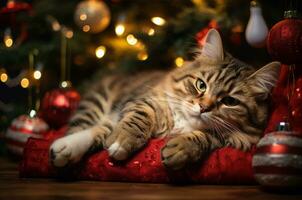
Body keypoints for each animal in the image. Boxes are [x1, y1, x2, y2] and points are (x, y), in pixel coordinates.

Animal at [50, 29, 280, 170]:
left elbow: (205, 137)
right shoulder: (142, 101)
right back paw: (62, 149)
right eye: (201, 85)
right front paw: (122, 141)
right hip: (97, 103)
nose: (203, 108)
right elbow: (135, 119)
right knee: (82, 127)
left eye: (230, 101)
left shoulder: (239, 138)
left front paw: (179, 149)